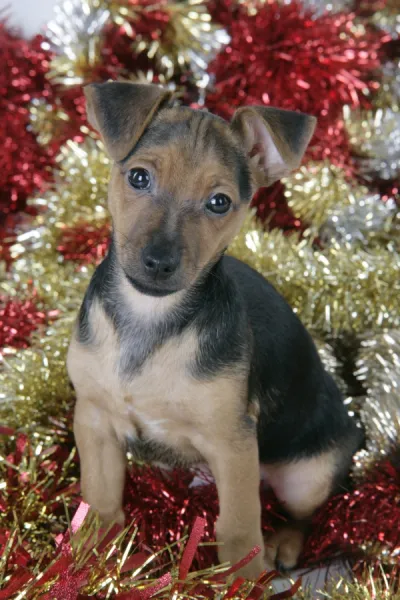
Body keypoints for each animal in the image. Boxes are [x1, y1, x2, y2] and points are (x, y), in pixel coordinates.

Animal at [68, 82, 362, 580]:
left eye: (218, 202)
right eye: (139, 178)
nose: (158, 262)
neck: (150, 317)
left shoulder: (232, 443)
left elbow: (240, 530)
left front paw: (242, 581)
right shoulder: (94, 419)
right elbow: (100, 500)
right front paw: (84, 559)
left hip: (305, 475)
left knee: (305, 512)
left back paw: (284, 543)